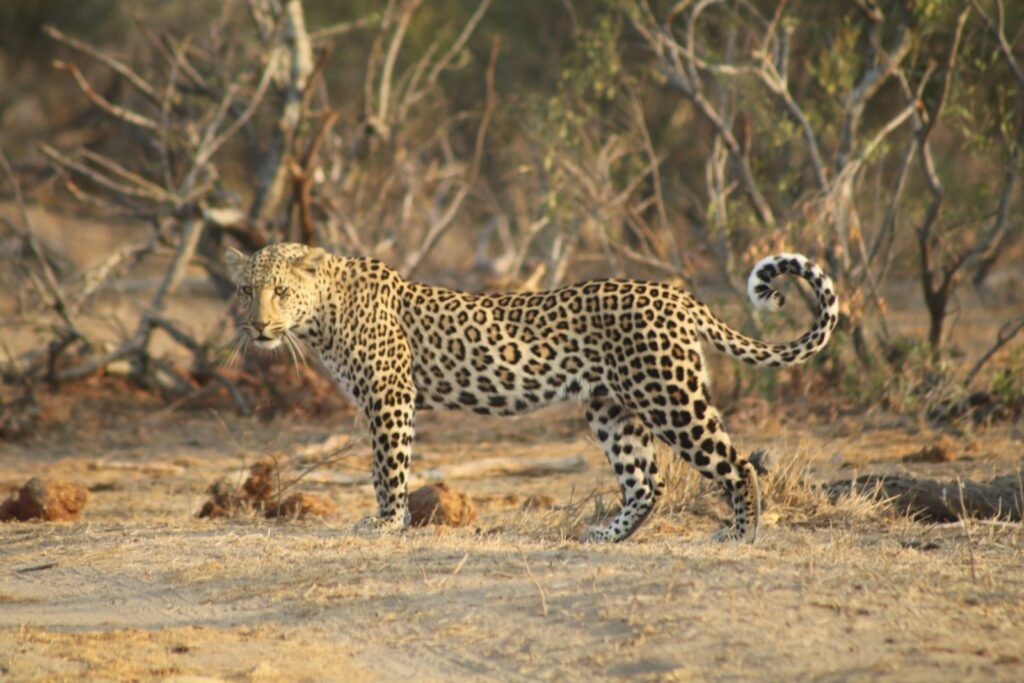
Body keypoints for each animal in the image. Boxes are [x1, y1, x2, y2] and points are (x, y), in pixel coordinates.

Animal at [225, 242, 838, 543]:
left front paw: (386, 523)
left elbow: (387, 466)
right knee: (647, 481)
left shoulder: (389, 393)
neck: (321, 315)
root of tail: (677, 294)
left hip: (670, 396)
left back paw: (739, 533)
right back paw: (606, 536)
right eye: (245, 290)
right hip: (611, 408)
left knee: (737, 462)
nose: (258, 326)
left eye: (280, 291)